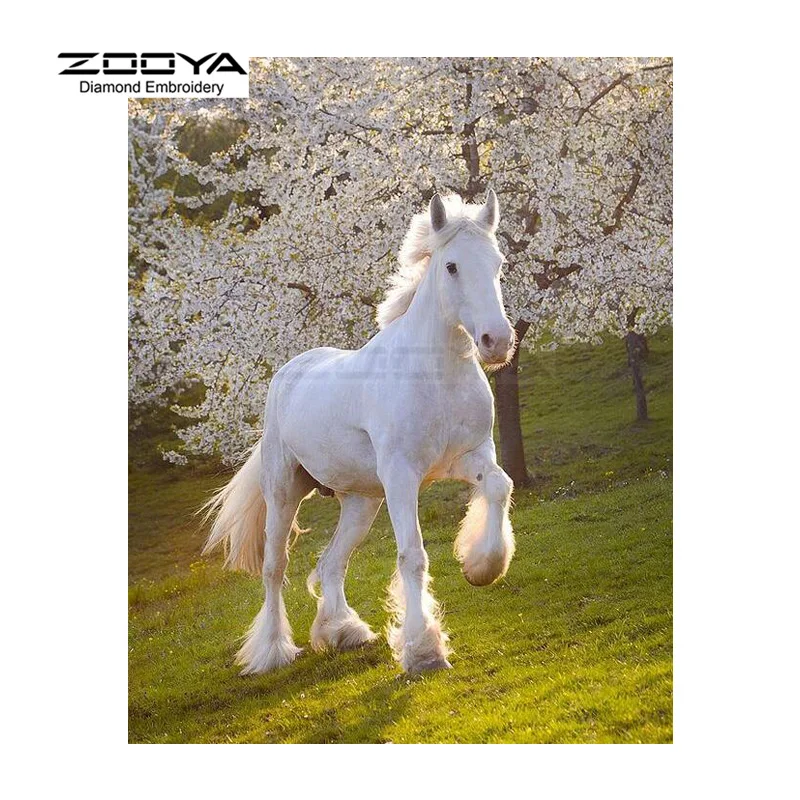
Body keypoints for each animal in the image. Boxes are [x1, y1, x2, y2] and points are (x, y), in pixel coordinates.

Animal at [203, 190, 516, 674]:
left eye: (498, 262)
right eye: (451, 266)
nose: (496, 341)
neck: (436, 372)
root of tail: (288, 373)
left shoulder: (471, 456)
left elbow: (501, 486)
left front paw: (481, 566)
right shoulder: (402, 475)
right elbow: (412, 556)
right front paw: (423, 650)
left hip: (361, 501)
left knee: (331, 562)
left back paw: (342, 632)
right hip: (284, 491)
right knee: (276, 567)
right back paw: (272, 651)